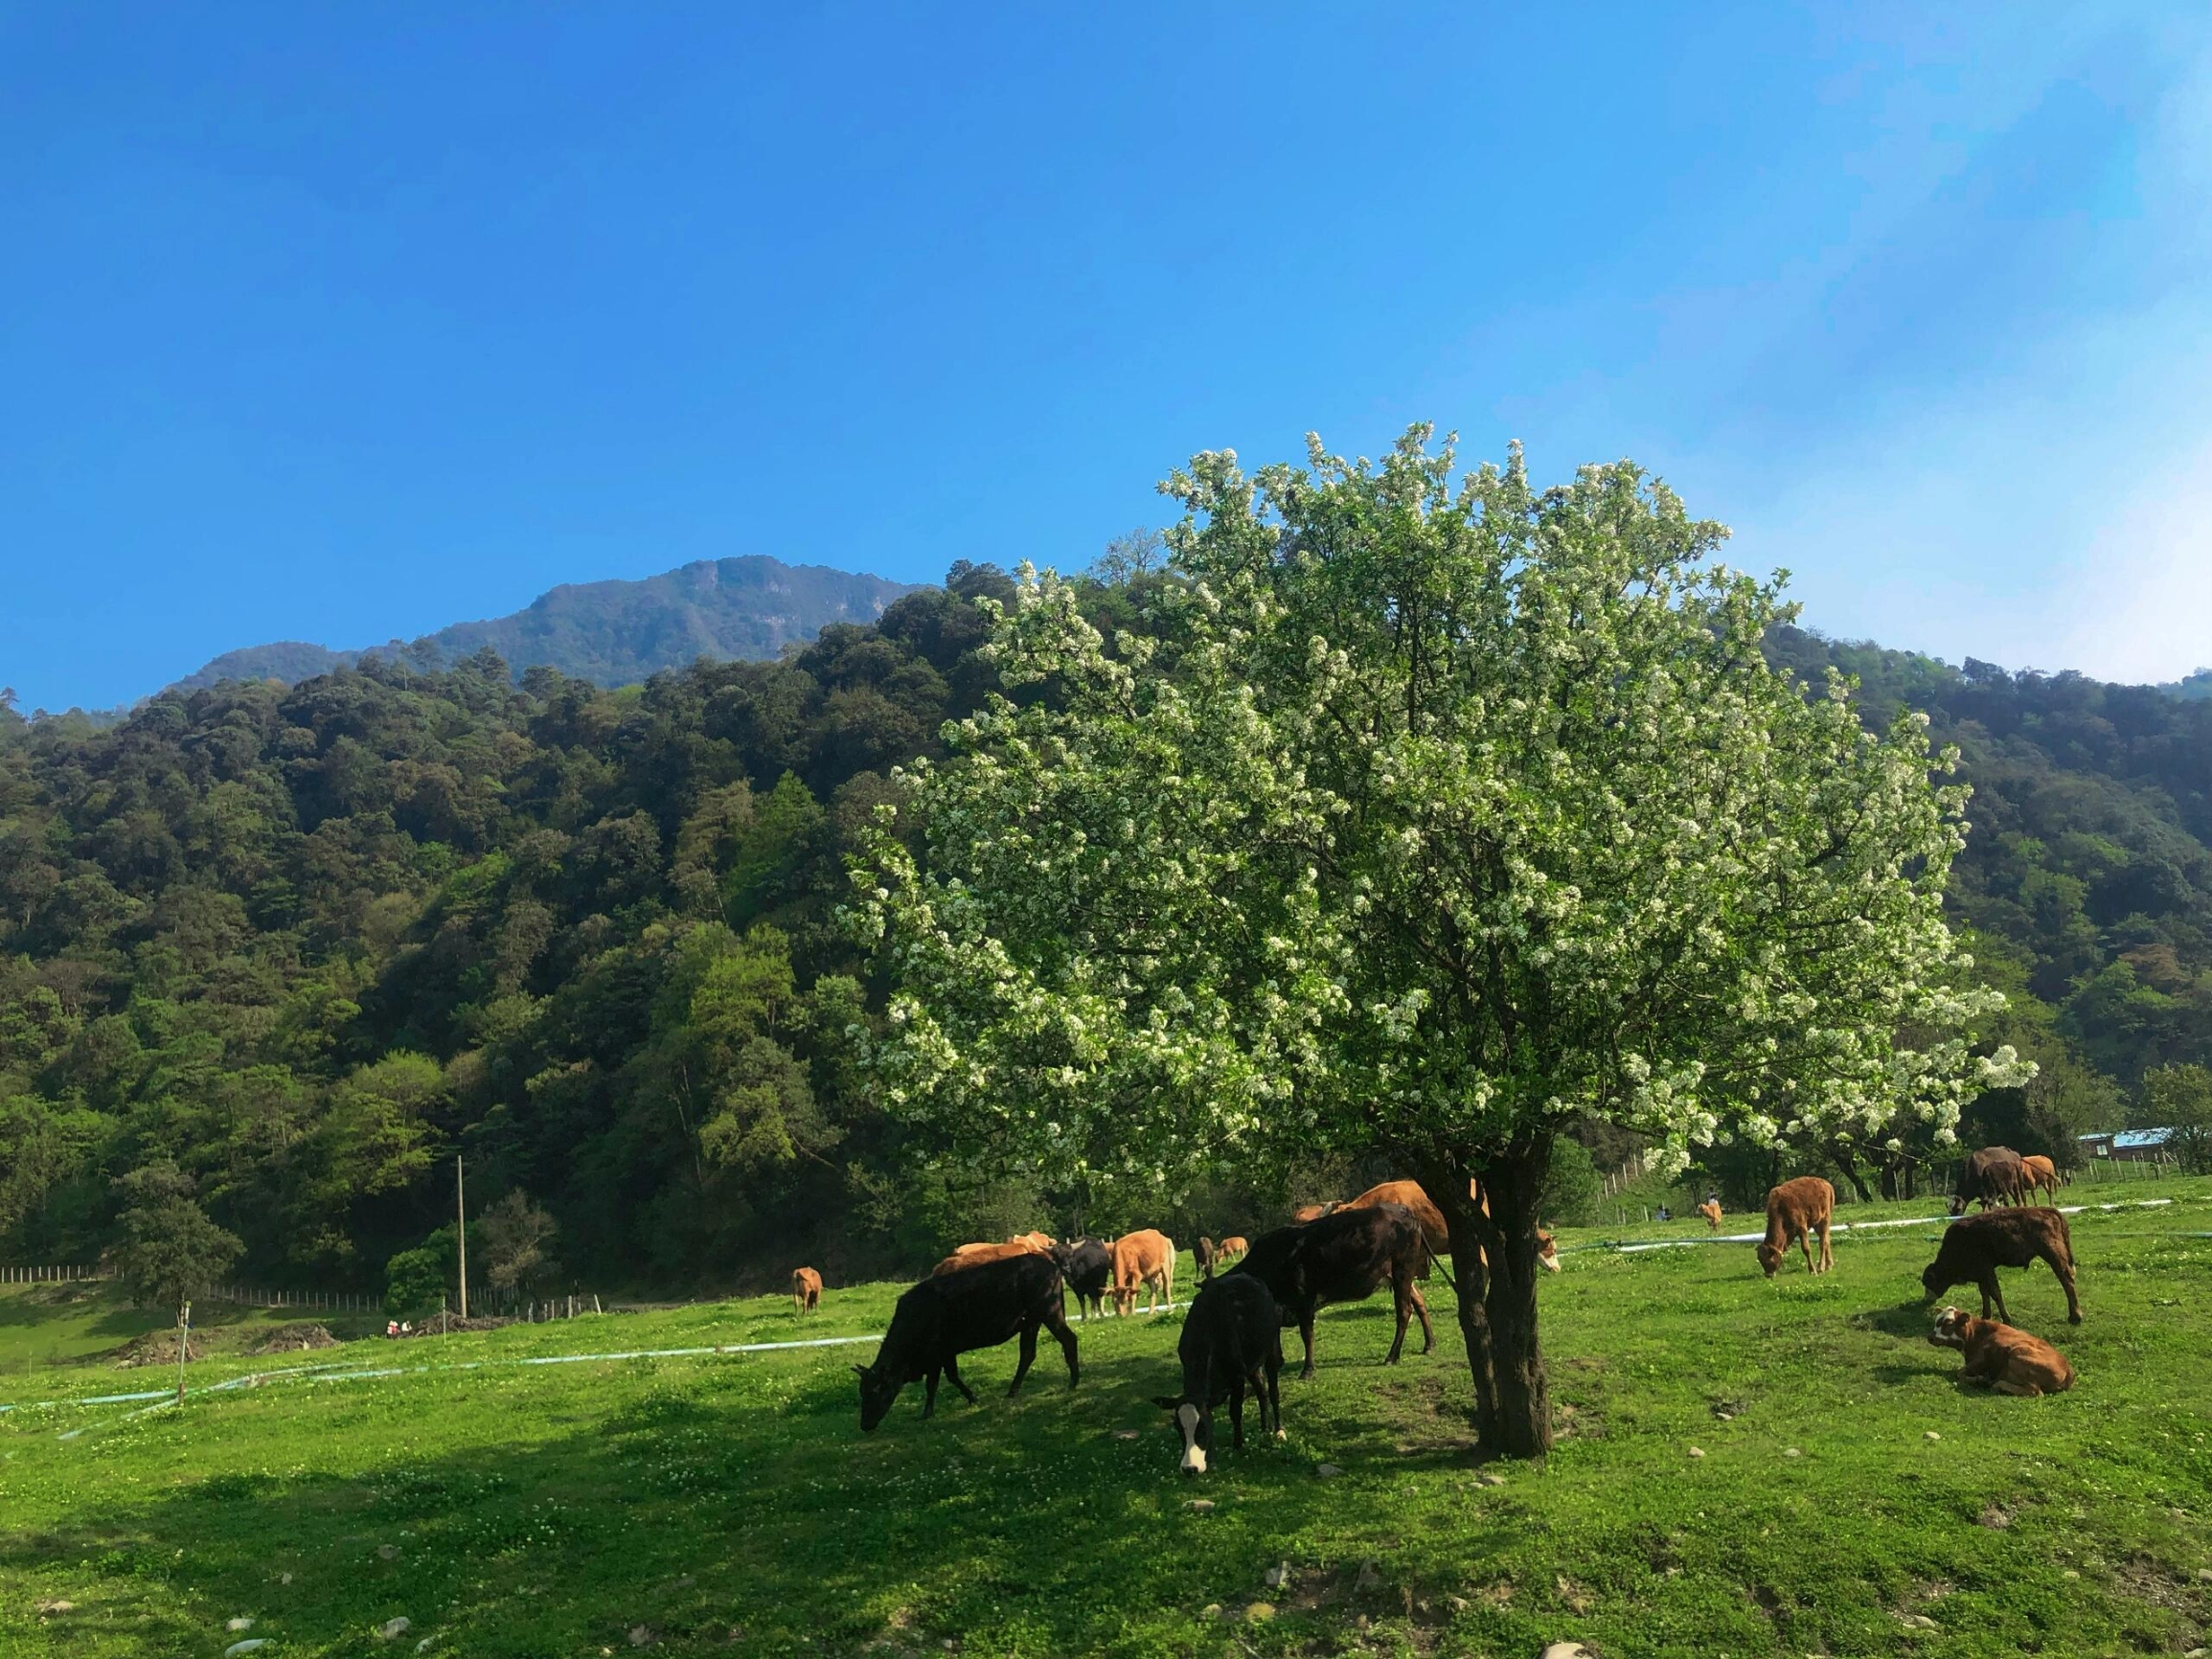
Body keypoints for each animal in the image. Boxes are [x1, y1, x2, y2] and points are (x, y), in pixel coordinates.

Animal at [854, 1256, 1079, 1433]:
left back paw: (1073, 1381)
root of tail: (1050, 1264)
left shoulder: (938, 1353)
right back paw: (1012, 1391)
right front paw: (970, 1398)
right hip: (1031, 1322)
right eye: (861, 1392)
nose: (865, 1425)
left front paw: (929, 1412)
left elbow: (936, 1382)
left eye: (875, 1391)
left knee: (1068, 1339)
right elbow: (949, 1378)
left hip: (1049, 1312)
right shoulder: (943, 1354)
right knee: (1027, 1354)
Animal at [1150, 1274, 1291, 1477]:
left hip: (1271, 1347)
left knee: (1273, 1391)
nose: (1189, 1469)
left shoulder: (1237, 1376)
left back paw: (1278, 1431)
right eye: (1178, 1427)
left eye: (1203, 1427)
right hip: (1252, 1364)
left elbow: (1235, 1411)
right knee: (1261, 1392)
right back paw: (1264, 1429)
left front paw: (1238, 1445)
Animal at [1229, 1203, 1433, 1380]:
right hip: (1399, 1277)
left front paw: (1307, 1370)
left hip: (1402, 1271)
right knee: (1419, 1301)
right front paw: (1278, 1363)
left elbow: (1307, 1336)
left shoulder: (1304, 1301)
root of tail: (1406, 1211)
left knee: (1404, 1311)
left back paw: (1392, 1356)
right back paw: (1429, 1344)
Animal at [1937, 1309, 2070, 1406]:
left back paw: (1995, 1384)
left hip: (2016, 1356)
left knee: (2035, 1392)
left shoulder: (1981, 1358)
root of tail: (2067, 1369)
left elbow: (1960, 1373)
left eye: (1948, 1323)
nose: (1932, 1337)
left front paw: (1980, 1379)